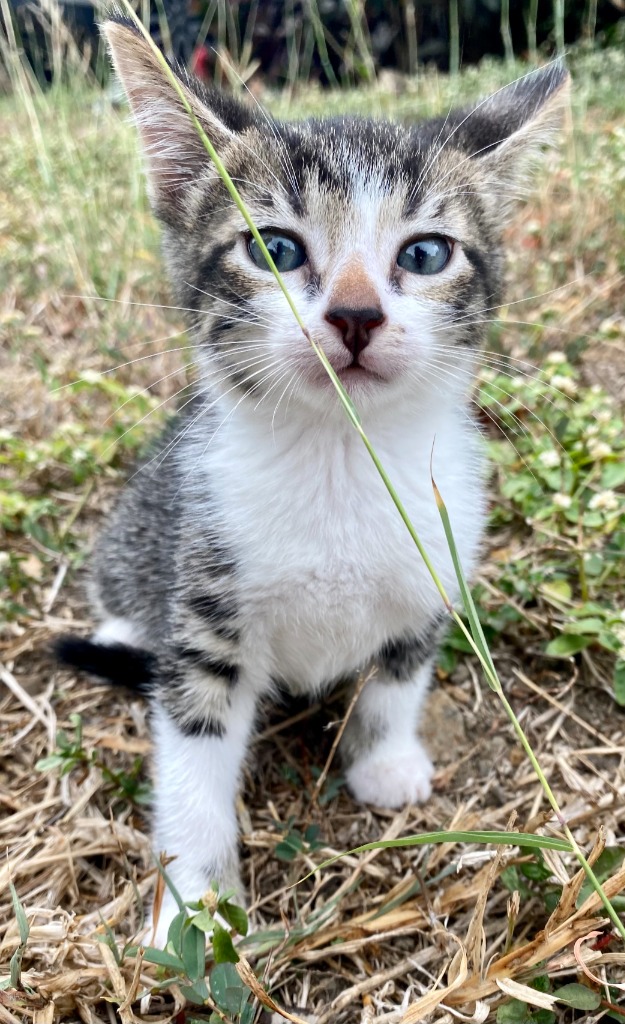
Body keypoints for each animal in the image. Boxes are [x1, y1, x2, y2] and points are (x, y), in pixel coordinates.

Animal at [56, 17, 569, 945]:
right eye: (275, 249)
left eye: (425, 253)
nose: (356, 315)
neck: (339, 455)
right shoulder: (204, 608)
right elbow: (192, 758)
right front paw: (193, 903)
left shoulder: (437, 551)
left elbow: (398, 671)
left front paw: (386, 759)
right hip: (148, 517)